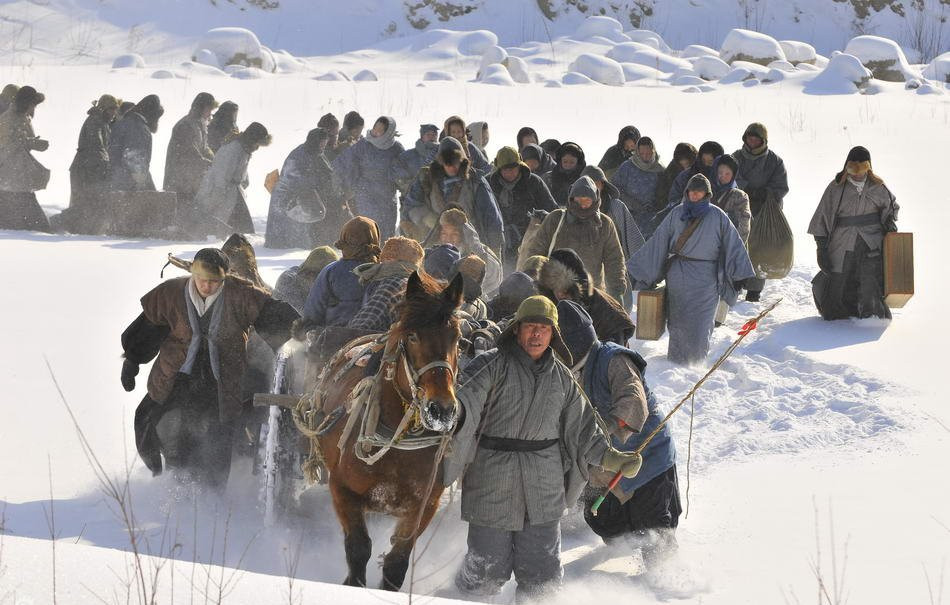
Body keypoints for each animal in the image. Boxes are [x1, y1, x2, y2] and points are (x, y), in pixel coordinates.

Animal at [316, 270, 464, 588]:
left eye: (457, 337)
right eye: (412, 335)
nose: (442, 409)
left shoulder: (424, 504)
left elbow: (397, 562)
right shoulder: (342, 490)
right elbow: (358, 549)